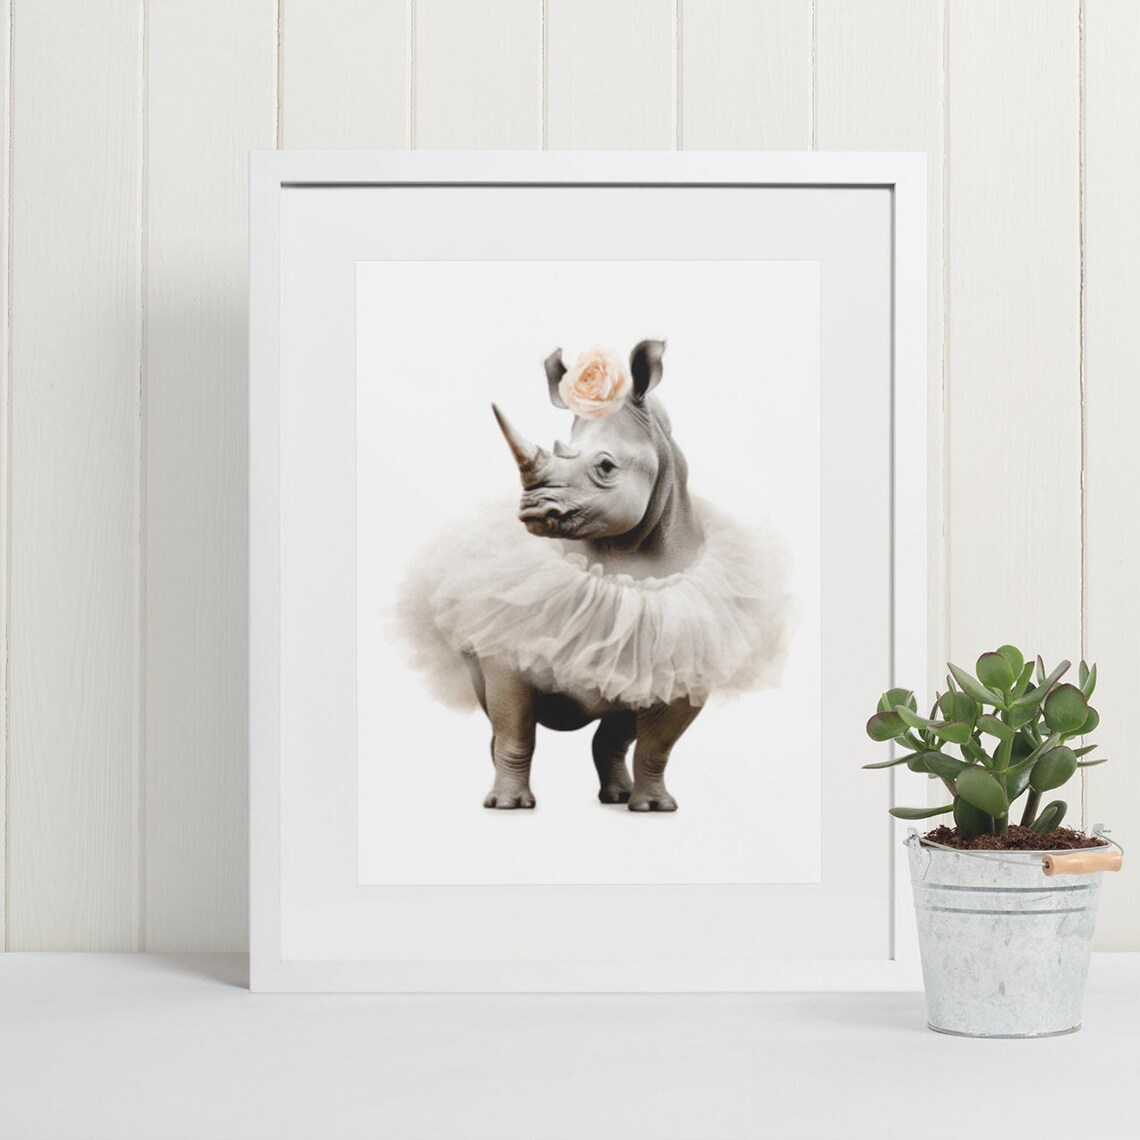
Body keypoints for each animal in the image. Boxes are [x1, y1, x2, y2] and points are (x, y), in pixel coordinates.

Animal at [470, 338, 706, 812]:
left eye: (607, 468)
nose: (534, 510)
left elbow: (658, 744)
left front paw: (656, 808)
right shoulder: (503, 647)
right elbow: (514, 729)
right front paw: (508, 806)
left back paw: (618, 798)